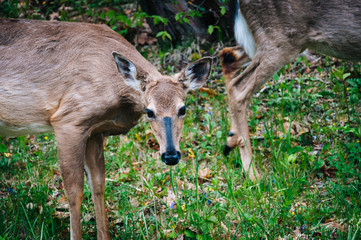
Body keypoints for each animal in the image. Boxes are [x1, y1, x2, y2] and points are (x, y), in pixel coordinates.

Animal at [0, 19, 211, 240]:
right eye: (149, 111)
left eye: (183, 109)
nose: (170, 155)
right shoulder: (69, 120)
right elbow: (74, 191)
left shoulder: (95, 131)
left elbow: (99, 185)